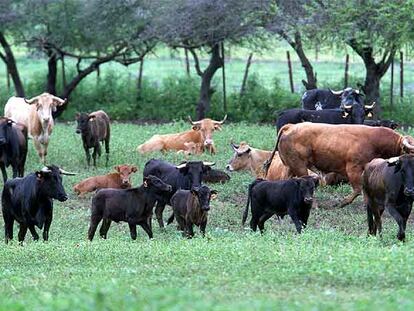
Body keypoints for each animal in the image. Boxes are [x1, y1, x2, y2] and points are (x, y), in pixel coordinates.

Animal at [274, 123, 414, 208]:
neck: (374, 141)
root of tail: (291, 126)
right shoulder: (353, 168)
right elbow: (357, 189)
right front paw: (343, 202)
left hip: (291, 166)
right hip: (299, 165)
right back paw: (314, 205)